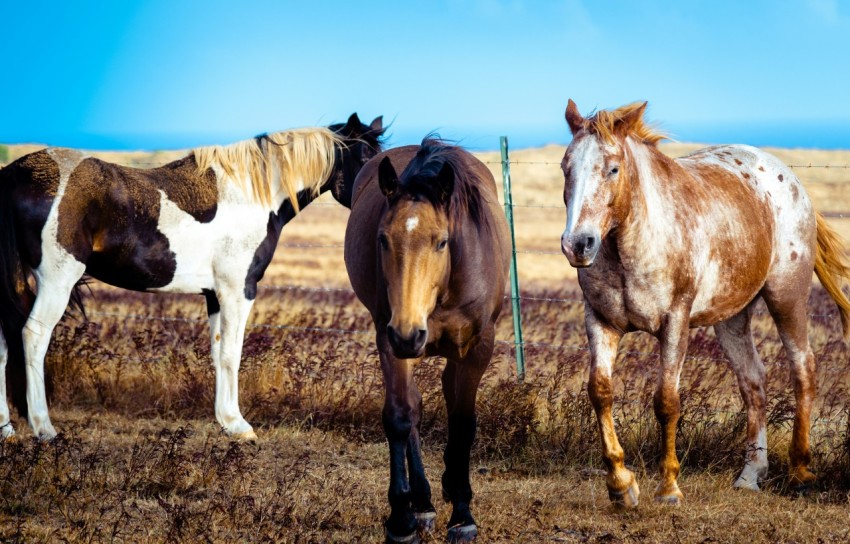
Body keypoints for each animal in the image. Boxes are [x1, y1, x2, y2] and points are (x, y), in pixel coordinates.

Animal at [0, 112, 384, 440]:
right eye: (366, 155)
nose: (384, 198)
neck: (252, 193)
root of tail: (14, 174)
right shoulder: (238, 290)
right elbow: (232, 353)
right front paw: (240, 425)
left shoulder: (214, 294)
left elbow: (217, 351)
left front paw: (226, 420)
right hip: (57, 280)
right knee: (33, 336)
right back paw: (44, 428)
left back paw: (7, 429)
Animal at [346, 138, 510, 540]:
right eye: (382, 239)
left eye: (441, 242)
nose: (408, 333)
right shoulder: (390, 339)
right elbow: (400, 417)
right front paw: (401, 518)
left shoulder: (478, 346)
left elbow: (463, 421)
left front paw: (463, 515)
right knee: (414, 409)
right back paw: (421, 503)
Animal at [556, 100, 848, 508]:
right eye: (566, 167)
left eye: (612, 168)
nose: (577, 245)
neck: (632, 244)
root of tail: (788, 178)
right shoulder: (600, 321)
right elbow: (600, 393)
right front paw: (620, 484)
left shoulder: (674, 322)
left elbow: (666, 402)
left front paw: (668, 488)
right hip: (731, 318)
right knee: (753, 381)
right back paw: (750, 475)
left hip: (786, 298)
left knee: (803, 368)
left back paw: (801, 471)